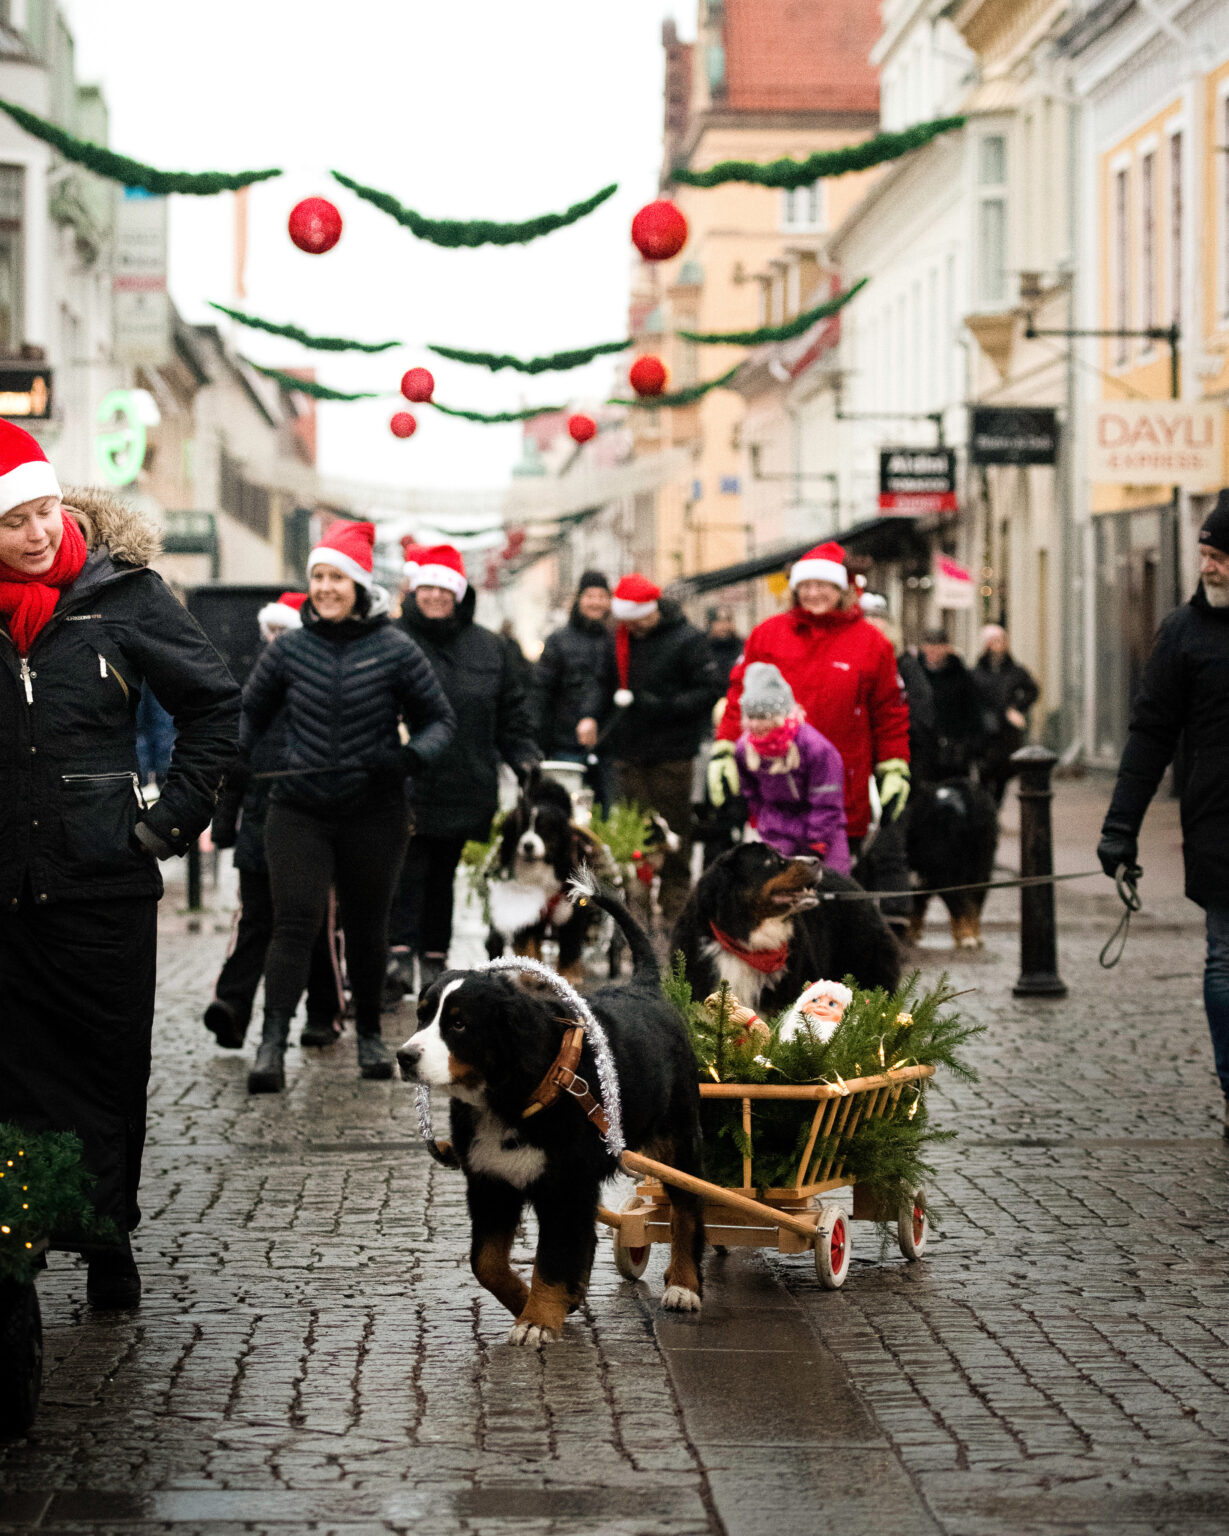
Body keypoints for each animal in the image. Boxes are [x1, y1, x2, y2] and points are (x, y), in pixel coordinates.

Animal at [399, 872, 706, 1351]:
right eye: (421, 1015)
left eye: (459, 1024)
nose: (404, 1056)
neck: (509, 1098)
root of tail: (644, 986)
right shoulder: (491, 1182)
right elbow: (486, 1262)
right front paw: (540, 1302)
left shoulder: (565, 1186)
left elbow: (554, 1255)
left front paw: (537, 1320)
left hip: (678, 1138)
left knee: (688, 1210)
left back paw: (683, 1286)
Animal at [903, 780, 995, 946]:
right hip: (982, 863)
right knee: (975, 900)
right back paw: (973, 935)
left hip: (949, 870)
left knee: (958, 901)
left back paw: (967, 938)